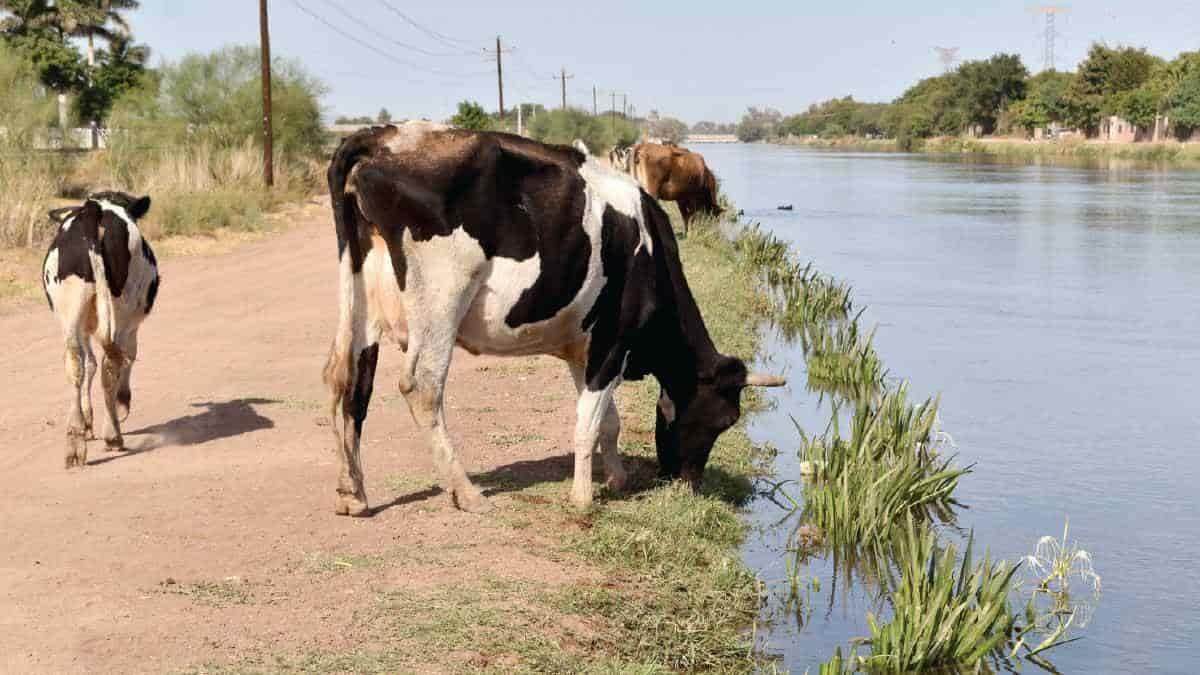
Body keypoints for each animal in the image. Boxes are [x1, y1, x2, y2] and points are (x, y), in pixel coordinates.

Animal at [42, 192, 159, 466]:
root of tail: (93, 209)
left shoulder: (84, 325)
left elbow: (89, 364)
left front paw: (87, 422)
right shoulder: (132, 325)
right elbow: (129, 357)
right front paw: (122, 403)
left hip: (71, 309)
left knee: (75, 361)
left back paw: (75, 442)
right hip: (122, 310)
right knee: (112, 362)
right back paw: (113, 434)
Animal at [324, 121, 782, 514]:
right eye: (726, 420)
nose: (688, 484)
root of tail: (387, 135)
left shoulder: (586, 349)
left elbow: (608, 422)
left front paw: (616, 478)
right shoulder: (613, 343)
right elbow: (587, 423)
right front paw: (582, 497)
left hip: (360, 296)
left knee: (348, 379)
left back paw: (352, 493)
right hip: (441, 297)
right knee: (421, 386)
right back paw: (466, 492)